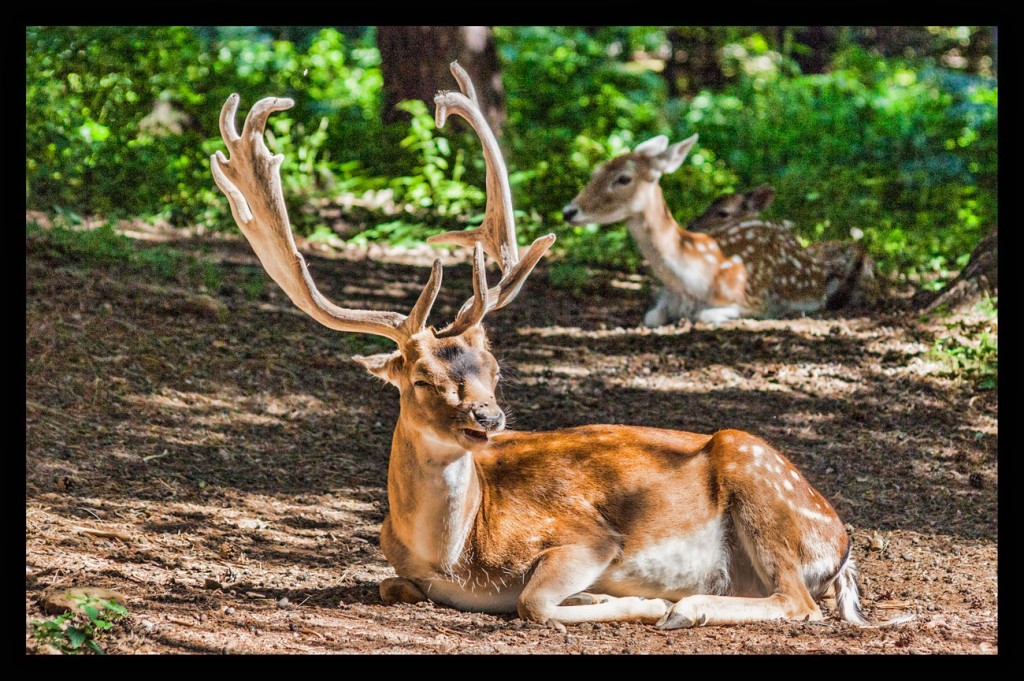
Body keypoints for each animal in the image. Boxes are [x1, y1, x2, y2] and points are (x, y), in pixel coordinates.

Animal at [211, 62, 876, 626]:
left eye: (495, 368)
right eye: (422, 377)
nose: (489, 417)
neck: (454, 558)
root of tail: (842, 540)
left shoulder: (588, 537)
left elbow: (533, 600)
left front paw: (632, 601)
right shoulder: (402, 570)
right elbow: (389, 584)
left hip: (762, 488)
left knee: (798, 602)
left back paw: (685, 606)